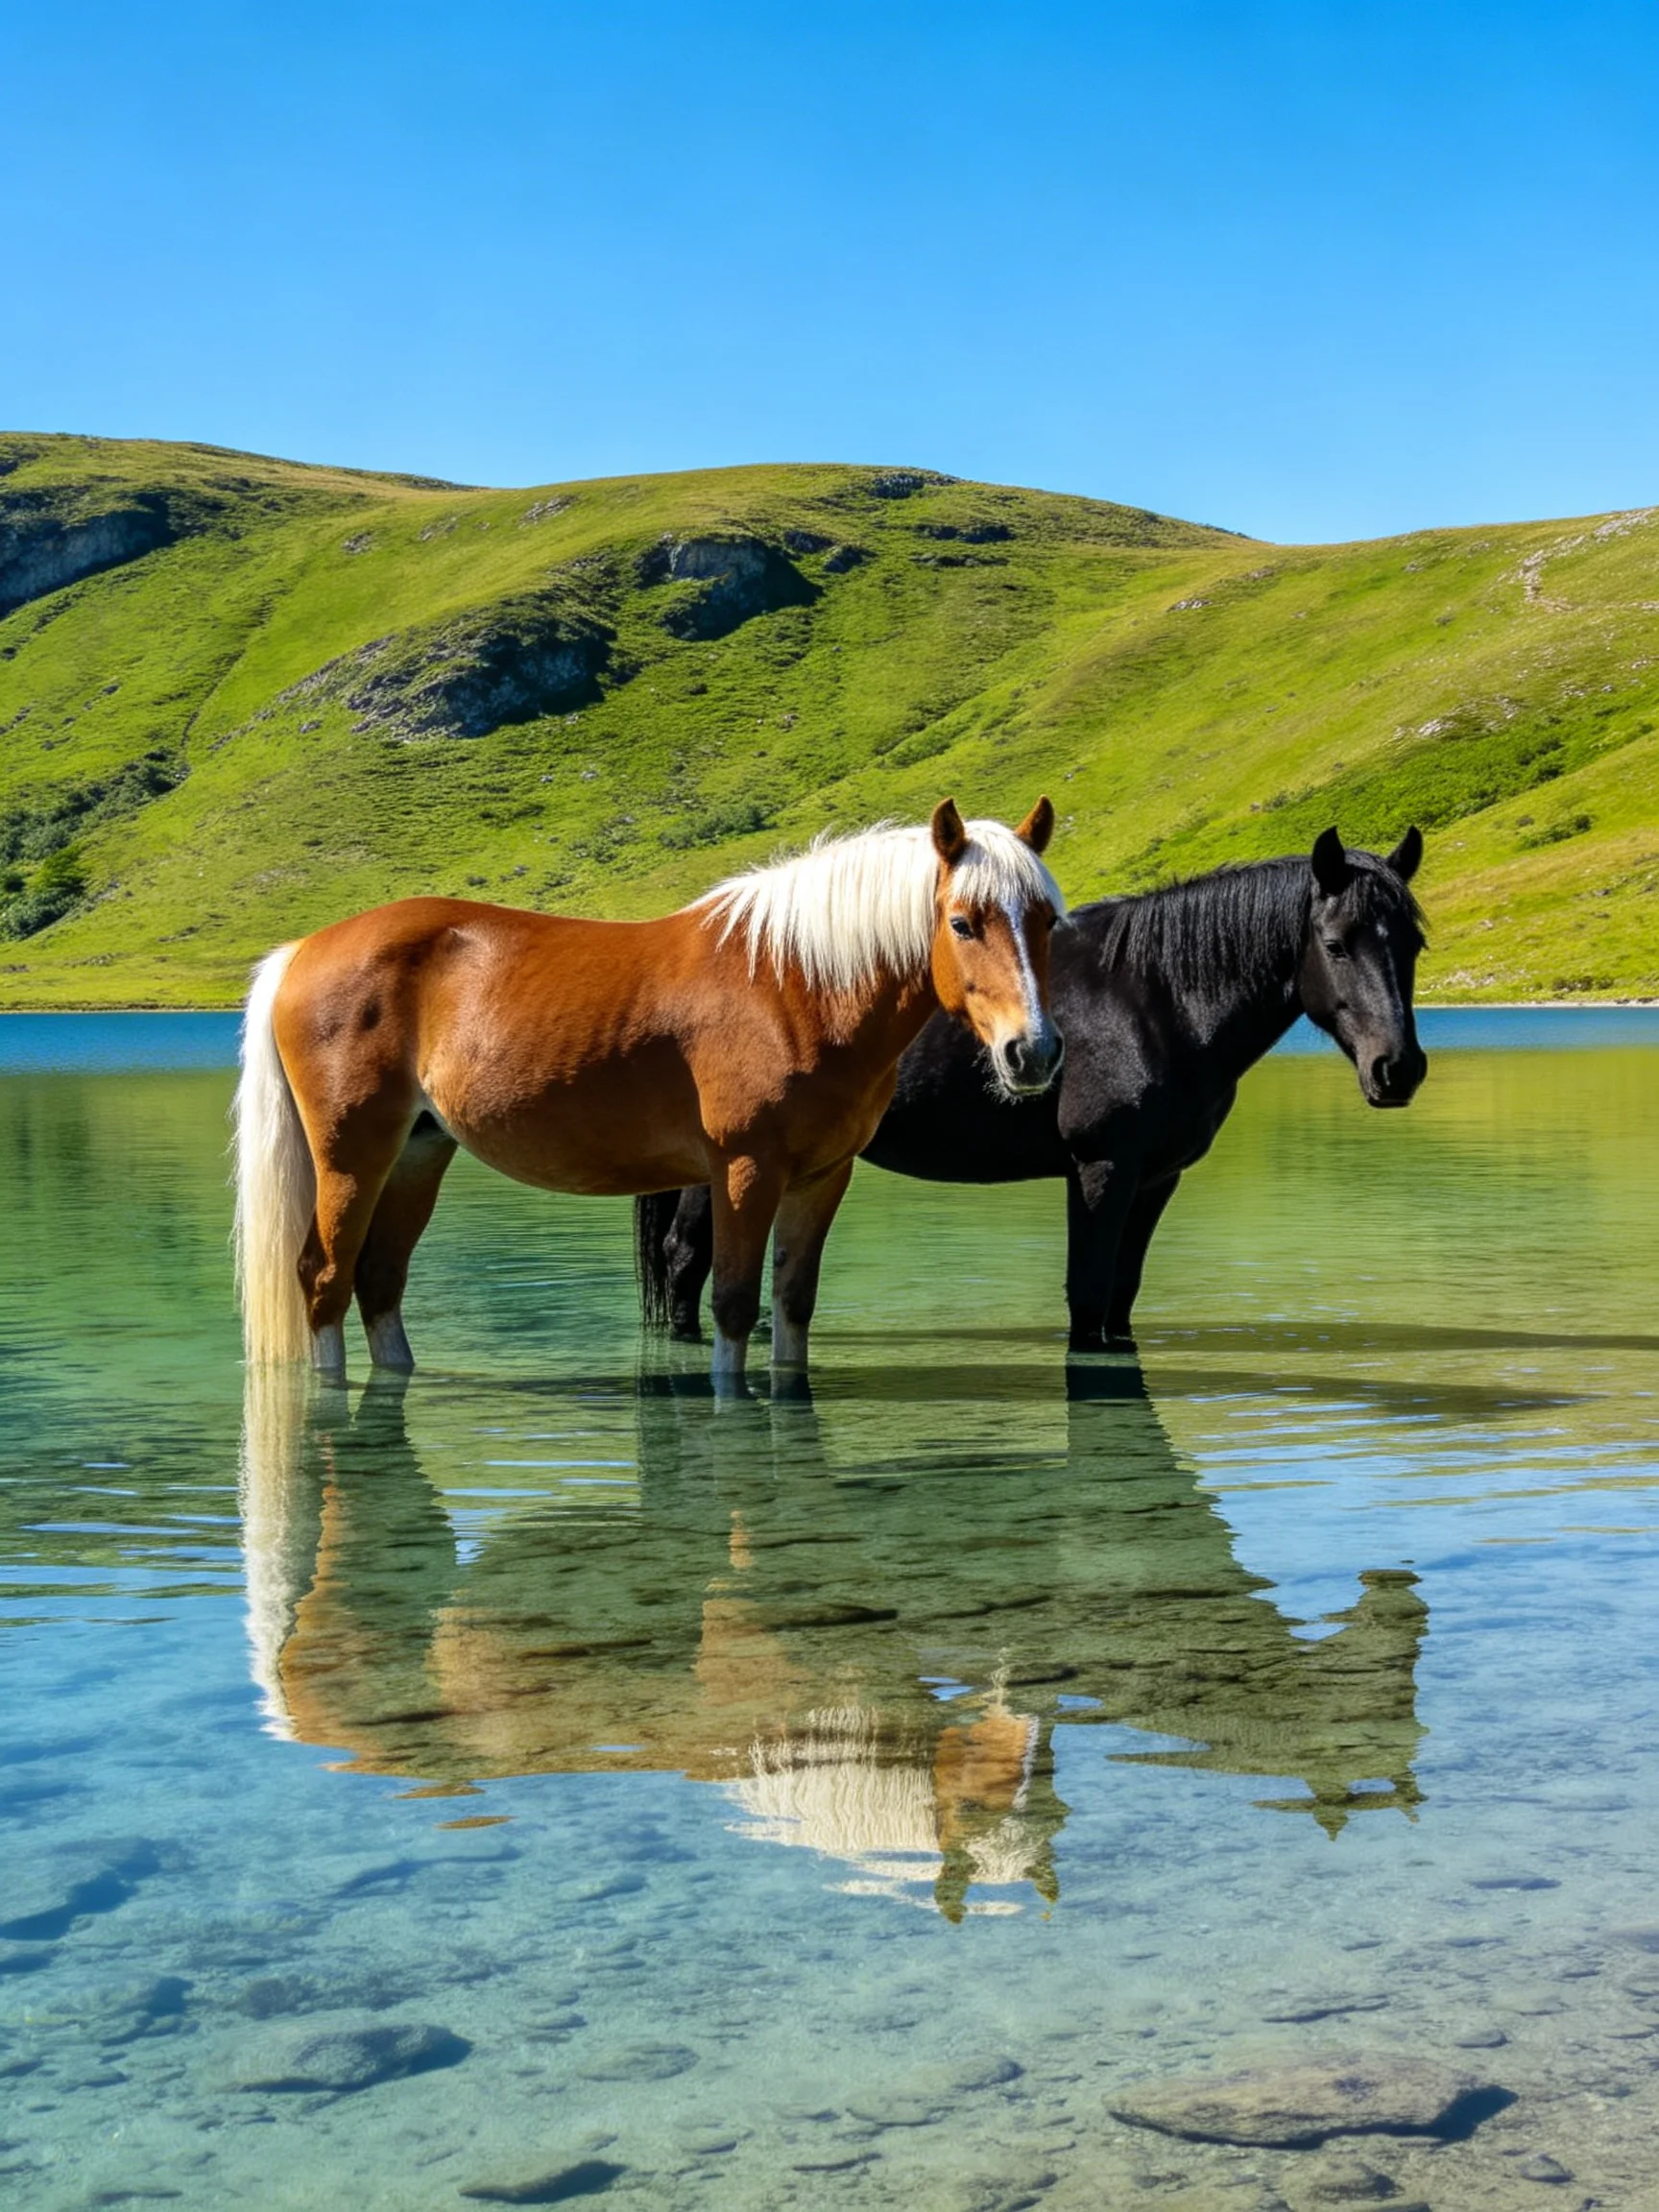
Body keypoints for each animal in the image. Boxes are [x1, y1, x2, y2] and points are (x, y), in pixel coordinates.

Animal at [233, 797, 1064, 1385]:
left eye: (1049, 921)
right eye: (962, 922)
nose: (1034, 1051)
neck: (793, 986)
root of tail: (302, 950)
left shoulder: (823, 1177)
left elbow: (792, 1306)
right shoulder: (744, 1170)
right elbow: (733, 1306)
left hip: (418, 1152)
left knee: (379, 1281)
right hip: (351, 1156)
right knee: (324, 1279)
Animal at [637, 826, 1428, 1349]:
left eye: (1413, 943)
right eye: (1336, 944)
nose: (1398, 1069)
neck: (1154, 999)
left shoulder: (1155, 1178)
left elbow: (1119, 1298)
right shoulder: (1101, 1169)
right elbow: (1087, 1297)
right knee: (685, 1260)